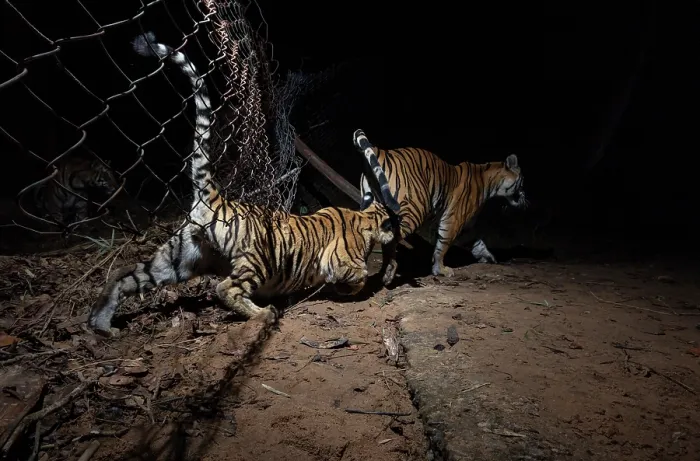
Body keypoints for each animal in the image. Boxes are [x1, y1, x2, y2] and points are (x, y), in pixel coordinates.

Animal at [86, 32, 401, 337]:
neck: (365, 217)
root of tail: (213, 197)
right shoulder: (340, 261)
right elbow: (360, 275)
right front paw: (350, 289)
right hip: (259, 258)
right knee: (225, 288)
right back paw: (264, 314)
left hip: (177, 260)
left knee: (124, 278)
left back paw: (101, 325)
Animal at [357, 134, 527, 285]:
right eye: (522, 182)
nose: (526, 199)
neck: (489, 183)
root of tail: (380, 150)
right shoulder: (453, 220)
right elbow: (442, 245)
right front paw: (441, 270)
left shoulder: (466, 229)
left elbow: (478, 244)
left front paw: (490, 258)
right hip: (415, 210)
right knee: (389, 238)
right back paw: (389, 271)